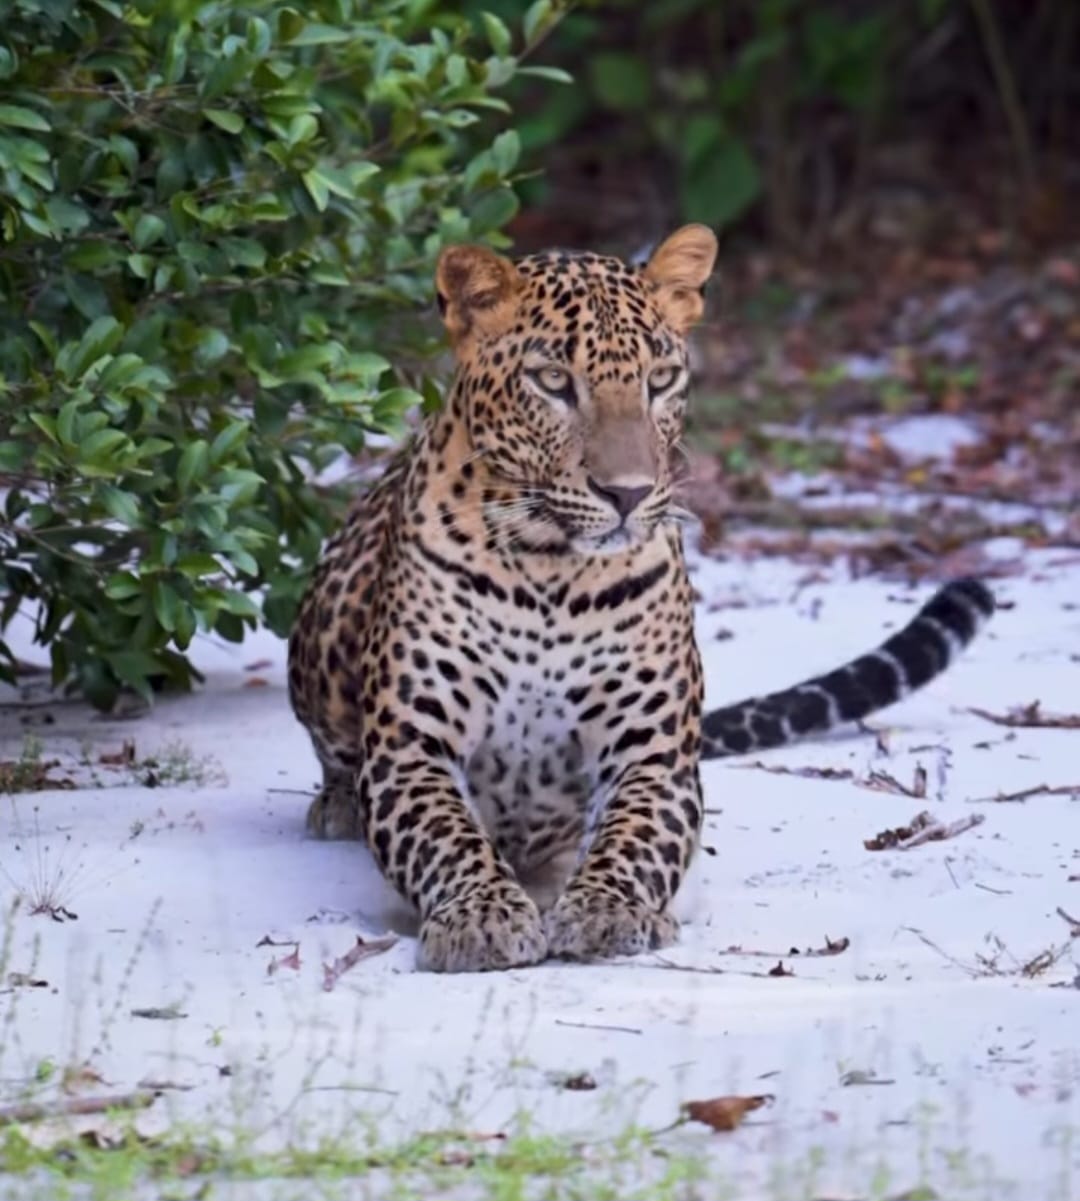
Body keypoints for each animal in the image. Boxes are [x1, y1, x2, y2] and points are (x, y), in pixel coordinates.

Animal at [287, 224, 994, 973]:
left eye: (660, 380)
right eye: (553, 382)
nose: (626, 494)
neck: (547, 569)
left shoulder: (653, 753)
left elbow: (635, 837)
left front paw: (606, 909)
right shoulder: (412, 748)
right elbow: (447, 839)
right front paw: (482, 917)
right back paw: (338, 806)